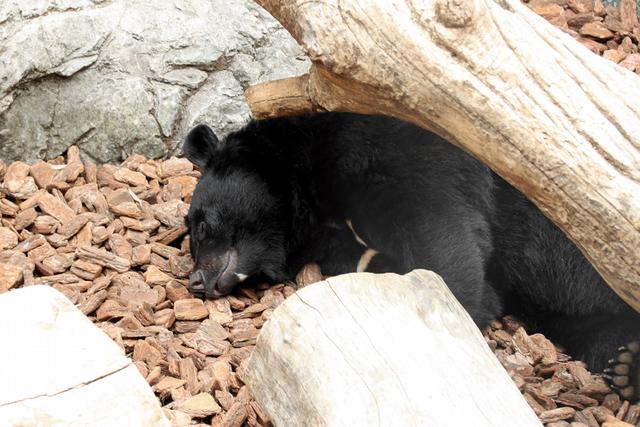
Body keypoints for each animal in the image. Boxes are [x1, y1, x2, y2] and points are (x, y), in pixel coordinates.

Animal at [182, 113, 636, 402]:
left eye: (200, 226)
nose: (196, 281)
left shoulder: (394, 151)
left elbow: (438, 224)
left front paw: (461, 310)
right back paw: (622, 364)